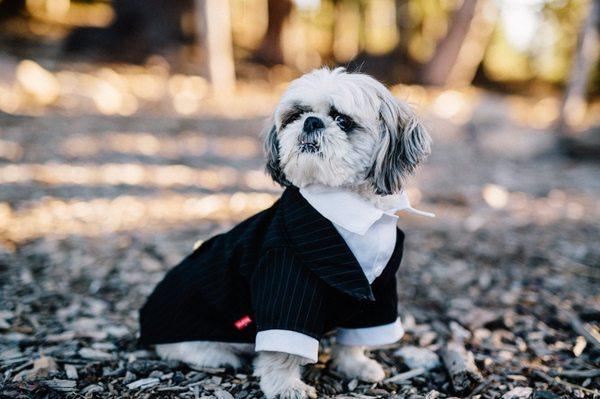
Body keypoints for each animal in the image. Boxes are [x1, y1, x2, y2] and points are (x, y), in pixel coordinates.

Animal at [139, 67, 432, 398]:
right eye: (296, 115)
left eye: (343, 120)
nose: (311, 121)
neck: (351, 210)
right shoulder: (284, 279)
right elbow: (282, 349)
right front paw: (286, 385)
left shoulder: (380, 292)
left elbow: (355, 338)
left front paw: (355, 365)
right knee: (176, 347)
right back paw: (216, 355)